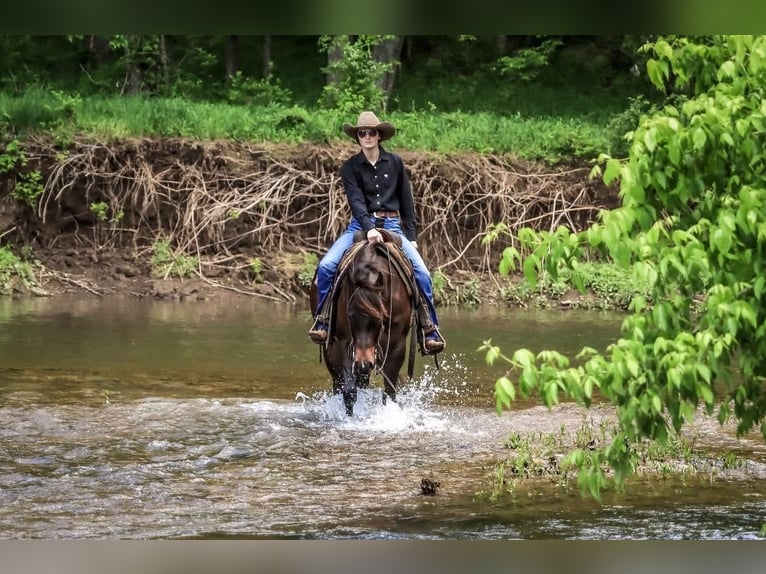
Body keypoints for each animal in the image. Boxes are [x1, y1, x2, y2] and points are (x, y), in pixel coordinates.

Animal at [309, 234, 417, 416]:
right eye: (349, 316)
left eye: (381, 319)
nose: (363, 363)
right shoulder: (343, 342)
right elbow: (349, 391)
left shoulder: (397, 343)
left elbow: (389, 391)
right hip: (329, 349)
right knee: (338, 383)